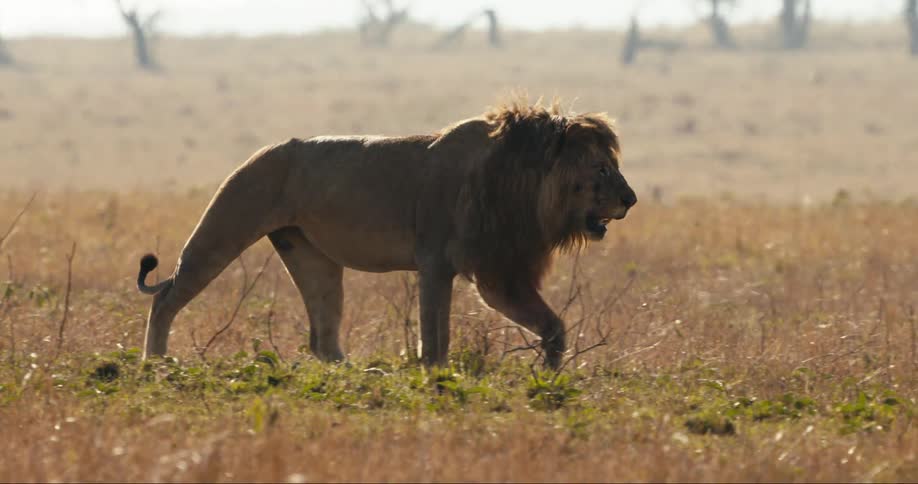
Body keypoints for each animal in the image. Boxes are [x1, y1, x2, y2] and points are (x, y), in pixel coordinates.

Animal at [136, 100, 636, 369]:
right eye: (601, 169)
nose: (630, 200)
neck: (524, 186)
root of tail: (262, 151)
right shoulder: (438, 262)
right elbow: (435, 339)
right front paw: (436, 380)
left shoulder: (498, 272)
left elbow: (553, 326)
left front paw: (552, 377)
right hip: (226, 225)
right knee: (167, 298)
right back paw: (155, 363)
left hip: (312, 257)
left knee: (324, 339)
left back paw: (360, 376)